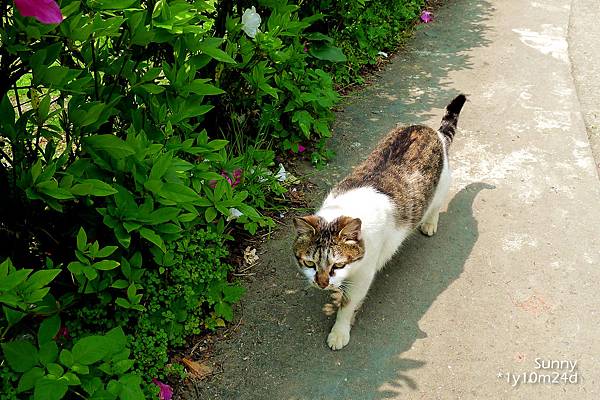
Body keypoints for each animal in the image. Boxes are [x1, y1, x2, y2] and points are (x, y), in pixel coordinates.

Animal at [292, 94, 466, 350]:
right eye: (309, 263)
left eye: (338, 265)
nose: (322, 283)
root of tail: (432, 131)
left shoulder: (363, 275)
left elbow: (347, 304)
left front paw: (340, 331)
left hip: (441, 186)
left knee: (436, 205)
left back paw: (429, 223)